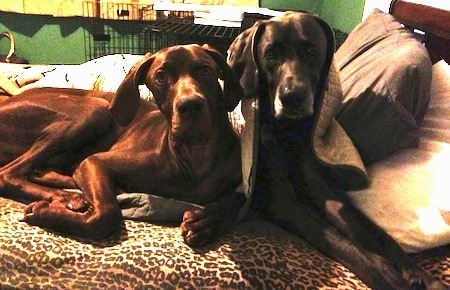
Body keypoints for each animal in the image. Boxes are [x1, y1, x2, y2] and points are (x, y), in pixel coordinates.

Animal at [0, 43, 244, 247]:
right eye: (161, 76)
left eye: (205, 70)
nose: (190, 105)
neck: (195, 153)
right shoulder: (95, 162)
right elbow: (106, 213)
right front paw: (43, 212)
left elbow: (239, 199)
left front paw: (207, 222)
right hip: (95, 109)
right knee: (8, 173)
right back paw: (65, 196)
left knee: (37, 170)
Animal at [227, 10, 444, 288]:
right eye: (271, 54)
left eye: (312, 50)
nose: (292, 97)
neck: (289, 132)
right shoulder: (283, 200)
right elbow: (350, 248)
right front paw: (391, 276)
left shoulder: (322, 189)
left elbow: (375, 232)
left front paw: (420, 273)